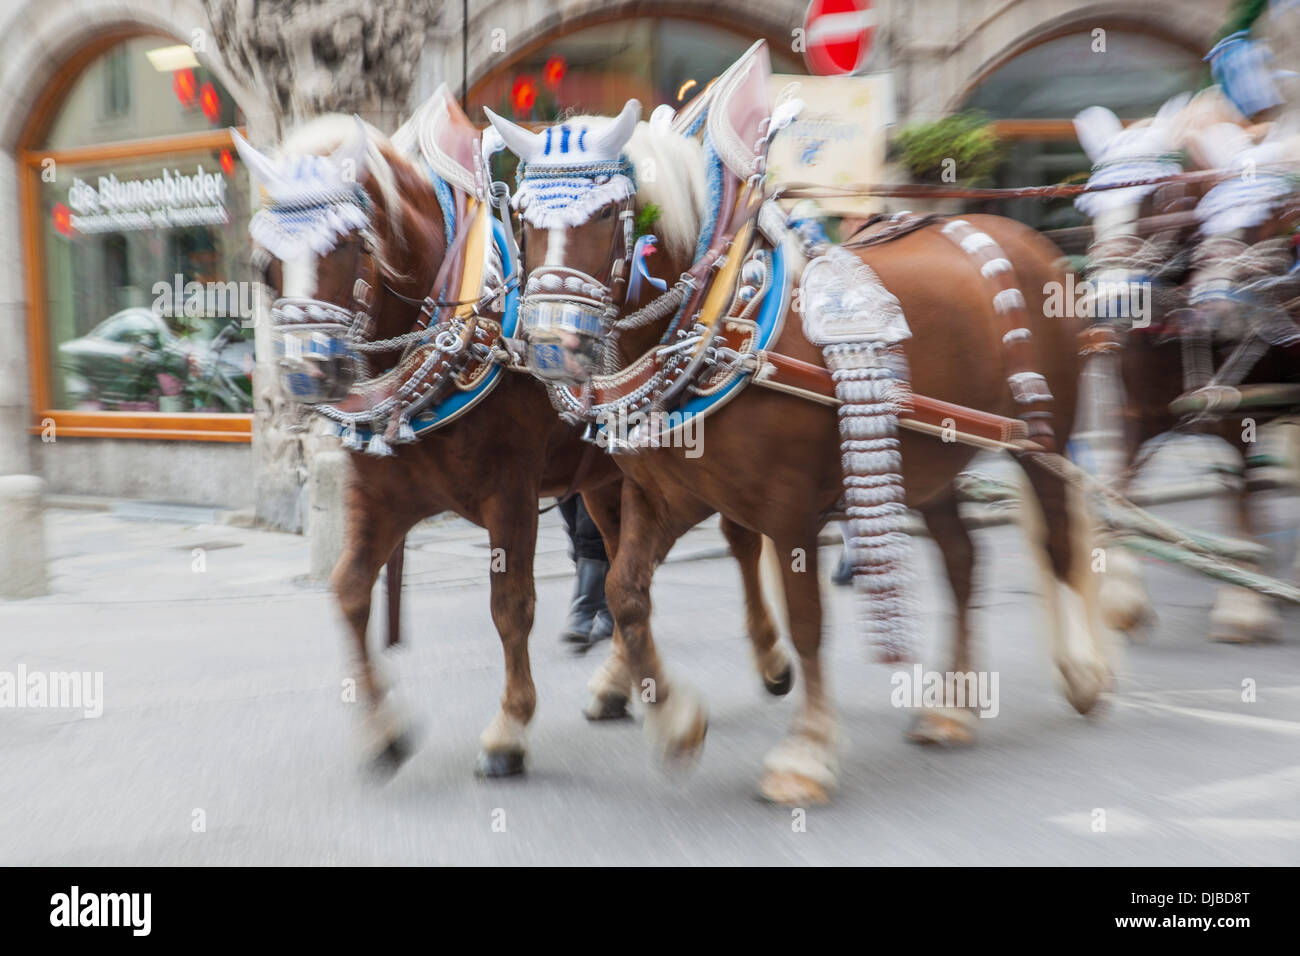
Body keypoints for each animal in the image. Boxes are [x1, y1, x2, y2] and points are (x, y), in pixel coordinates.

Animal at [236, 106, 790, 780]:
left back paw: (769, 660)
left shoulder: (511, 490)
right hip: (606, 479)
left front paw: (509, 729)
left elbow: (511, 606)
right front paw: (384, 731)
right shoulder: (379, 494)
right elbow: (347, 592)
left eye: (349, 244)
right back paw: (620, 684)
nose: (303, 376)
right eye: (264, 263)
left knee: (739, 540)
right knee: (627, 563)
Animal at [488, 102, 1118, 806]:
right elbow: (626, 594)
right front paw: (677, 723)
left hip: (1042, 439)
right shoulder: (665, 496)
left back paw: (1082, 673)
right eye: (522, 218)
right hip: (932, 462)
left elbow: (808, 621)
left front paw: (807, 752)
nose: (548, 347)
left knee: (1058, 542)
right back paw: (952, 705)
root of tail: (1032, 242)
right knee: (963, 560)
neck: (722, 320)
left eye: (602, 215)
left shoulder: (789, 512)